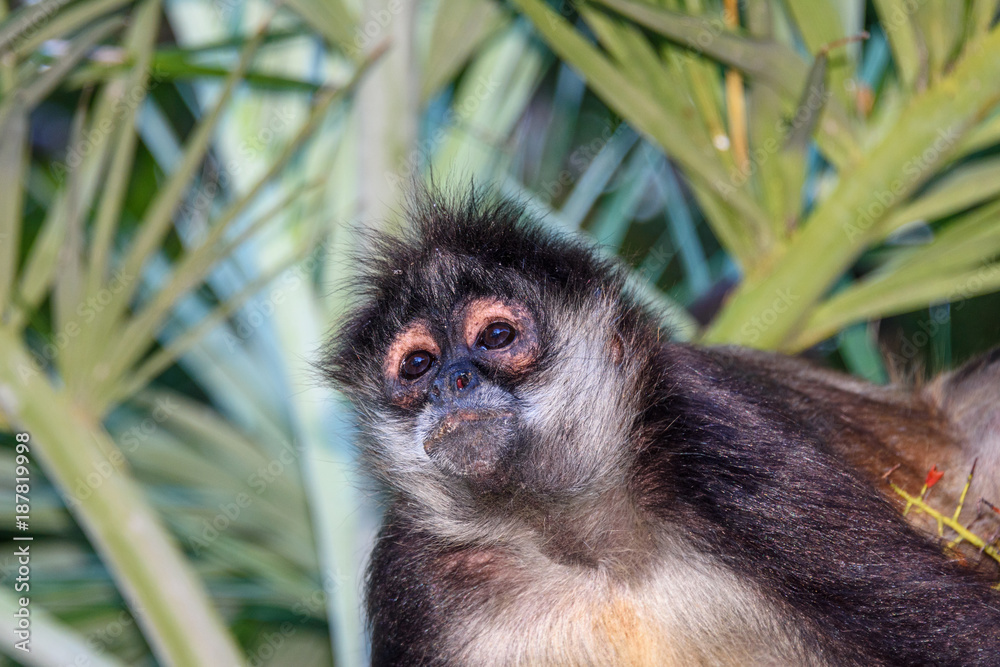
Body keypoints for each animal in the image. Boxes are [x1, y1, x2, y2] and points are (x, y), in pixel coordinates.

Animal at [324, 190, 1000, 666]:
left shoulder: (714, 441)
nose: (452, 383)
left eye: (495, 336)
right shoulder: (416, 578)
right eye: (417, 365)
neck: (586, 551)